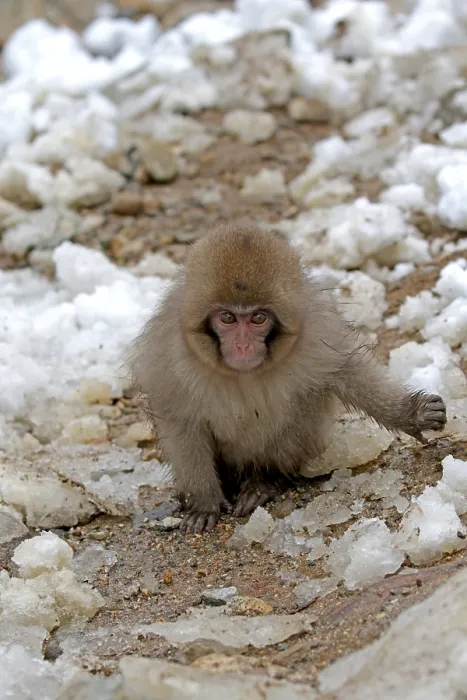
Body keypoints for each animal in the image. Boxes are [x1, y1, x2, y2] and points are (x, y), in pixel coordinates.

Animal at [128, 224, 446, 534]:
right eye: (227, 318)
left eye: (258, 318)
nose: (243, 346)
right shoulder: (169, 356)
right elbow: (180, 421)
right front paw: (203, 503)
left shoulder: (316, 334)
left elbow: (349, 371)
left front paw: (413, 414)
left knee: (301, 410)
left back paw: (265, 481)